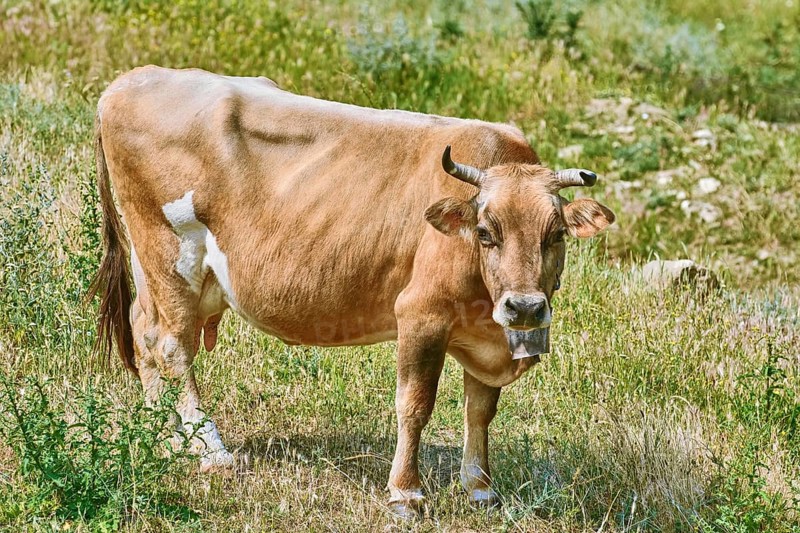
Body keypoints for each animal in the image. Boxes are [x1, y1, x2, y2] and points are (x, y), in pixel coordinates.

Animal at [90, 66, 615, 517]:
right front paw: (406, 494)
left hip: (159, 269)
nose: (524, 306)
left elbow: (481, 410)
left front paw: (481, 488)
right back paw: (209, 449)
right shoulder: (421, 315)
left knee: (144, 334)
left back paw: (165, 439)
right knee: (172, 346)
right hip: (169, 254)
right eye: (486, 232)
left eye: (556, 234)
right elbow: (414, 405)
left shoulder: (490, 334)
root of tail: (132, 80)